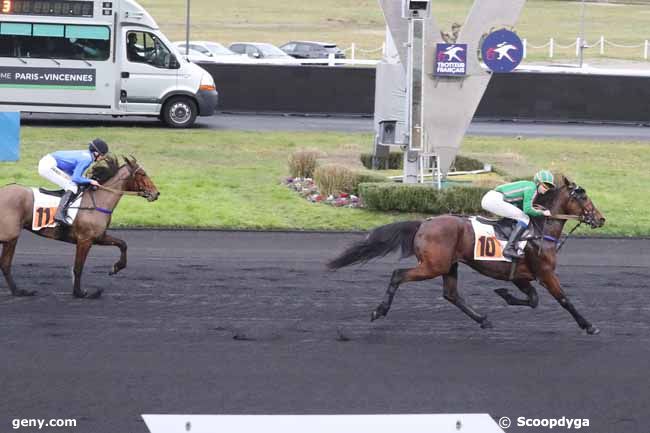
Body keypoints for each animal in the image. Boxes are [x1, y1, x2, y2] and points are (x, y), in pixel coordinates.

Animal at [0, 154, 160, 296]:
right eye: (143, 174)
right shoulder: (85, 240)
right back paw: (20, 291)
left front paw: (116, 267)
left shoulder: (99, 237)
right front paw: (80, 293)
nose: (156, 193)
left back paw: (18, 291)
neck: (99, 201)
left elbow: (123, 244)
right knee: (5, 264)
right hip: (11, 235)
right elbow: (78, 268)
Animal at [326, 174, 604, 332]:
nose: (600, 218)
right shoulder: (545, 273)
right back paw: (379, 311)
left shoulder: (520, 275)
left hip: (449, 265)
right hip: (433, 266)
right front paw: (589, 325)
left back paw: (483, 319)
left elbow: (533, 299)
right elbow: (564, 299)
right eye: (583, 197)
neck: (539, 230)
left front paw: (504, 294)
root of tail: (424, 223)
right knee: (397, 275)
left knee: (451, 294)